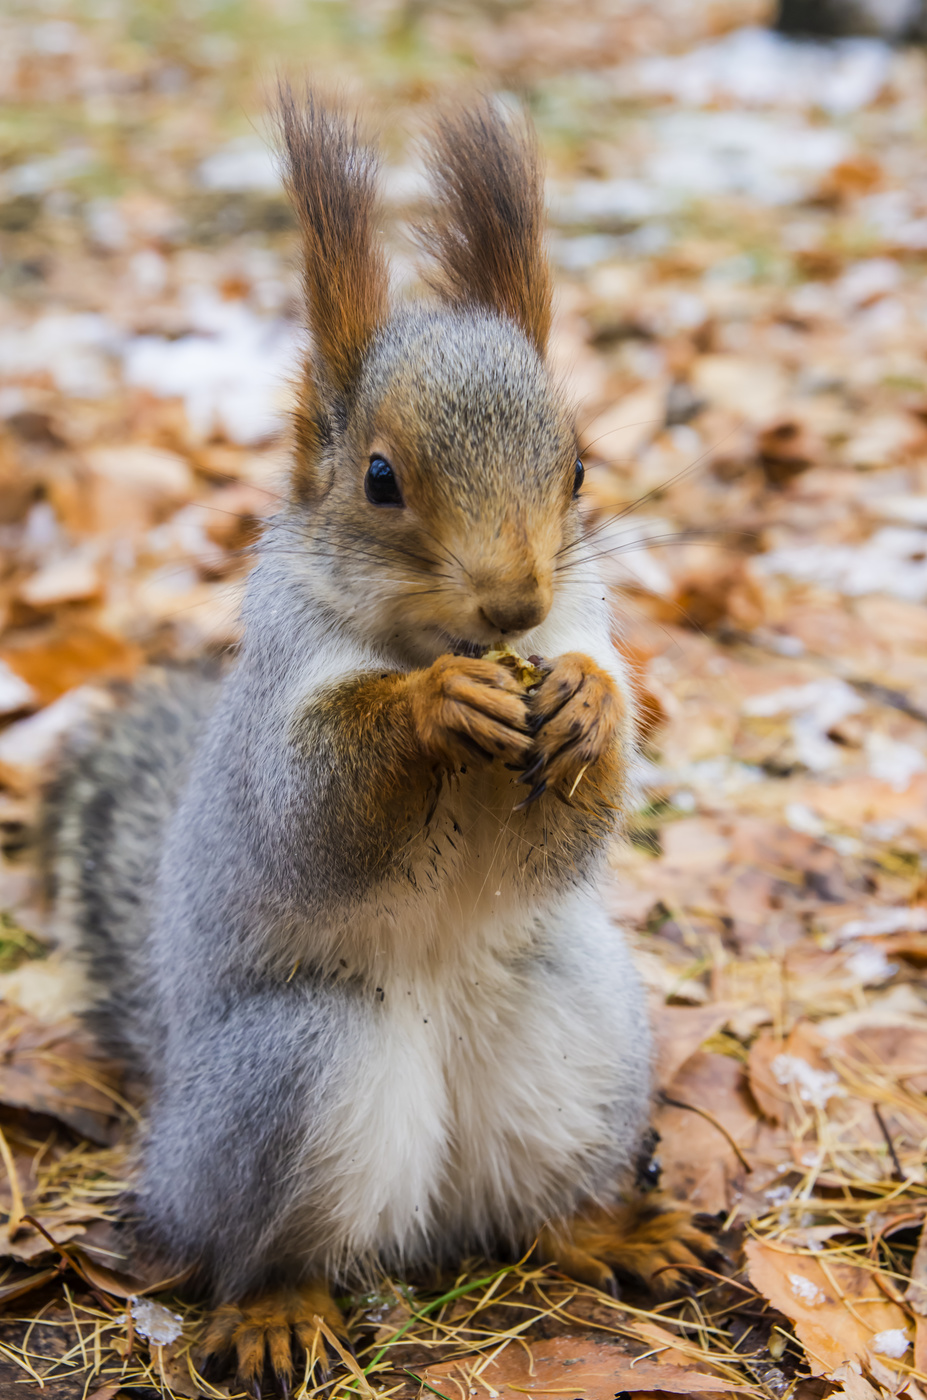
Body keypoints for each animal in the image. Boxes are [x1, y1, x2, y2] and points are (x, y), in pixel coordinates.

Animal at [44, 91, 713, 1396]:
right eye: (380, 478)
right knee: (262, 1244)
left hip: (578, 1026)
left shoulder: (579, 634)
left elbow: (577, 816)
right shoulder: (277, 710)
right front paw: (434, 706)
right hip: (290, 1073)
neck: (424, 637)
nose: (512, 604)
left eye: (579, 466)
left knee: (535, 1206)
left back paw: (608, 1226)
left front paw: (589, 707)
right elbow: (317, 809)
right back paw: (275, 1307)